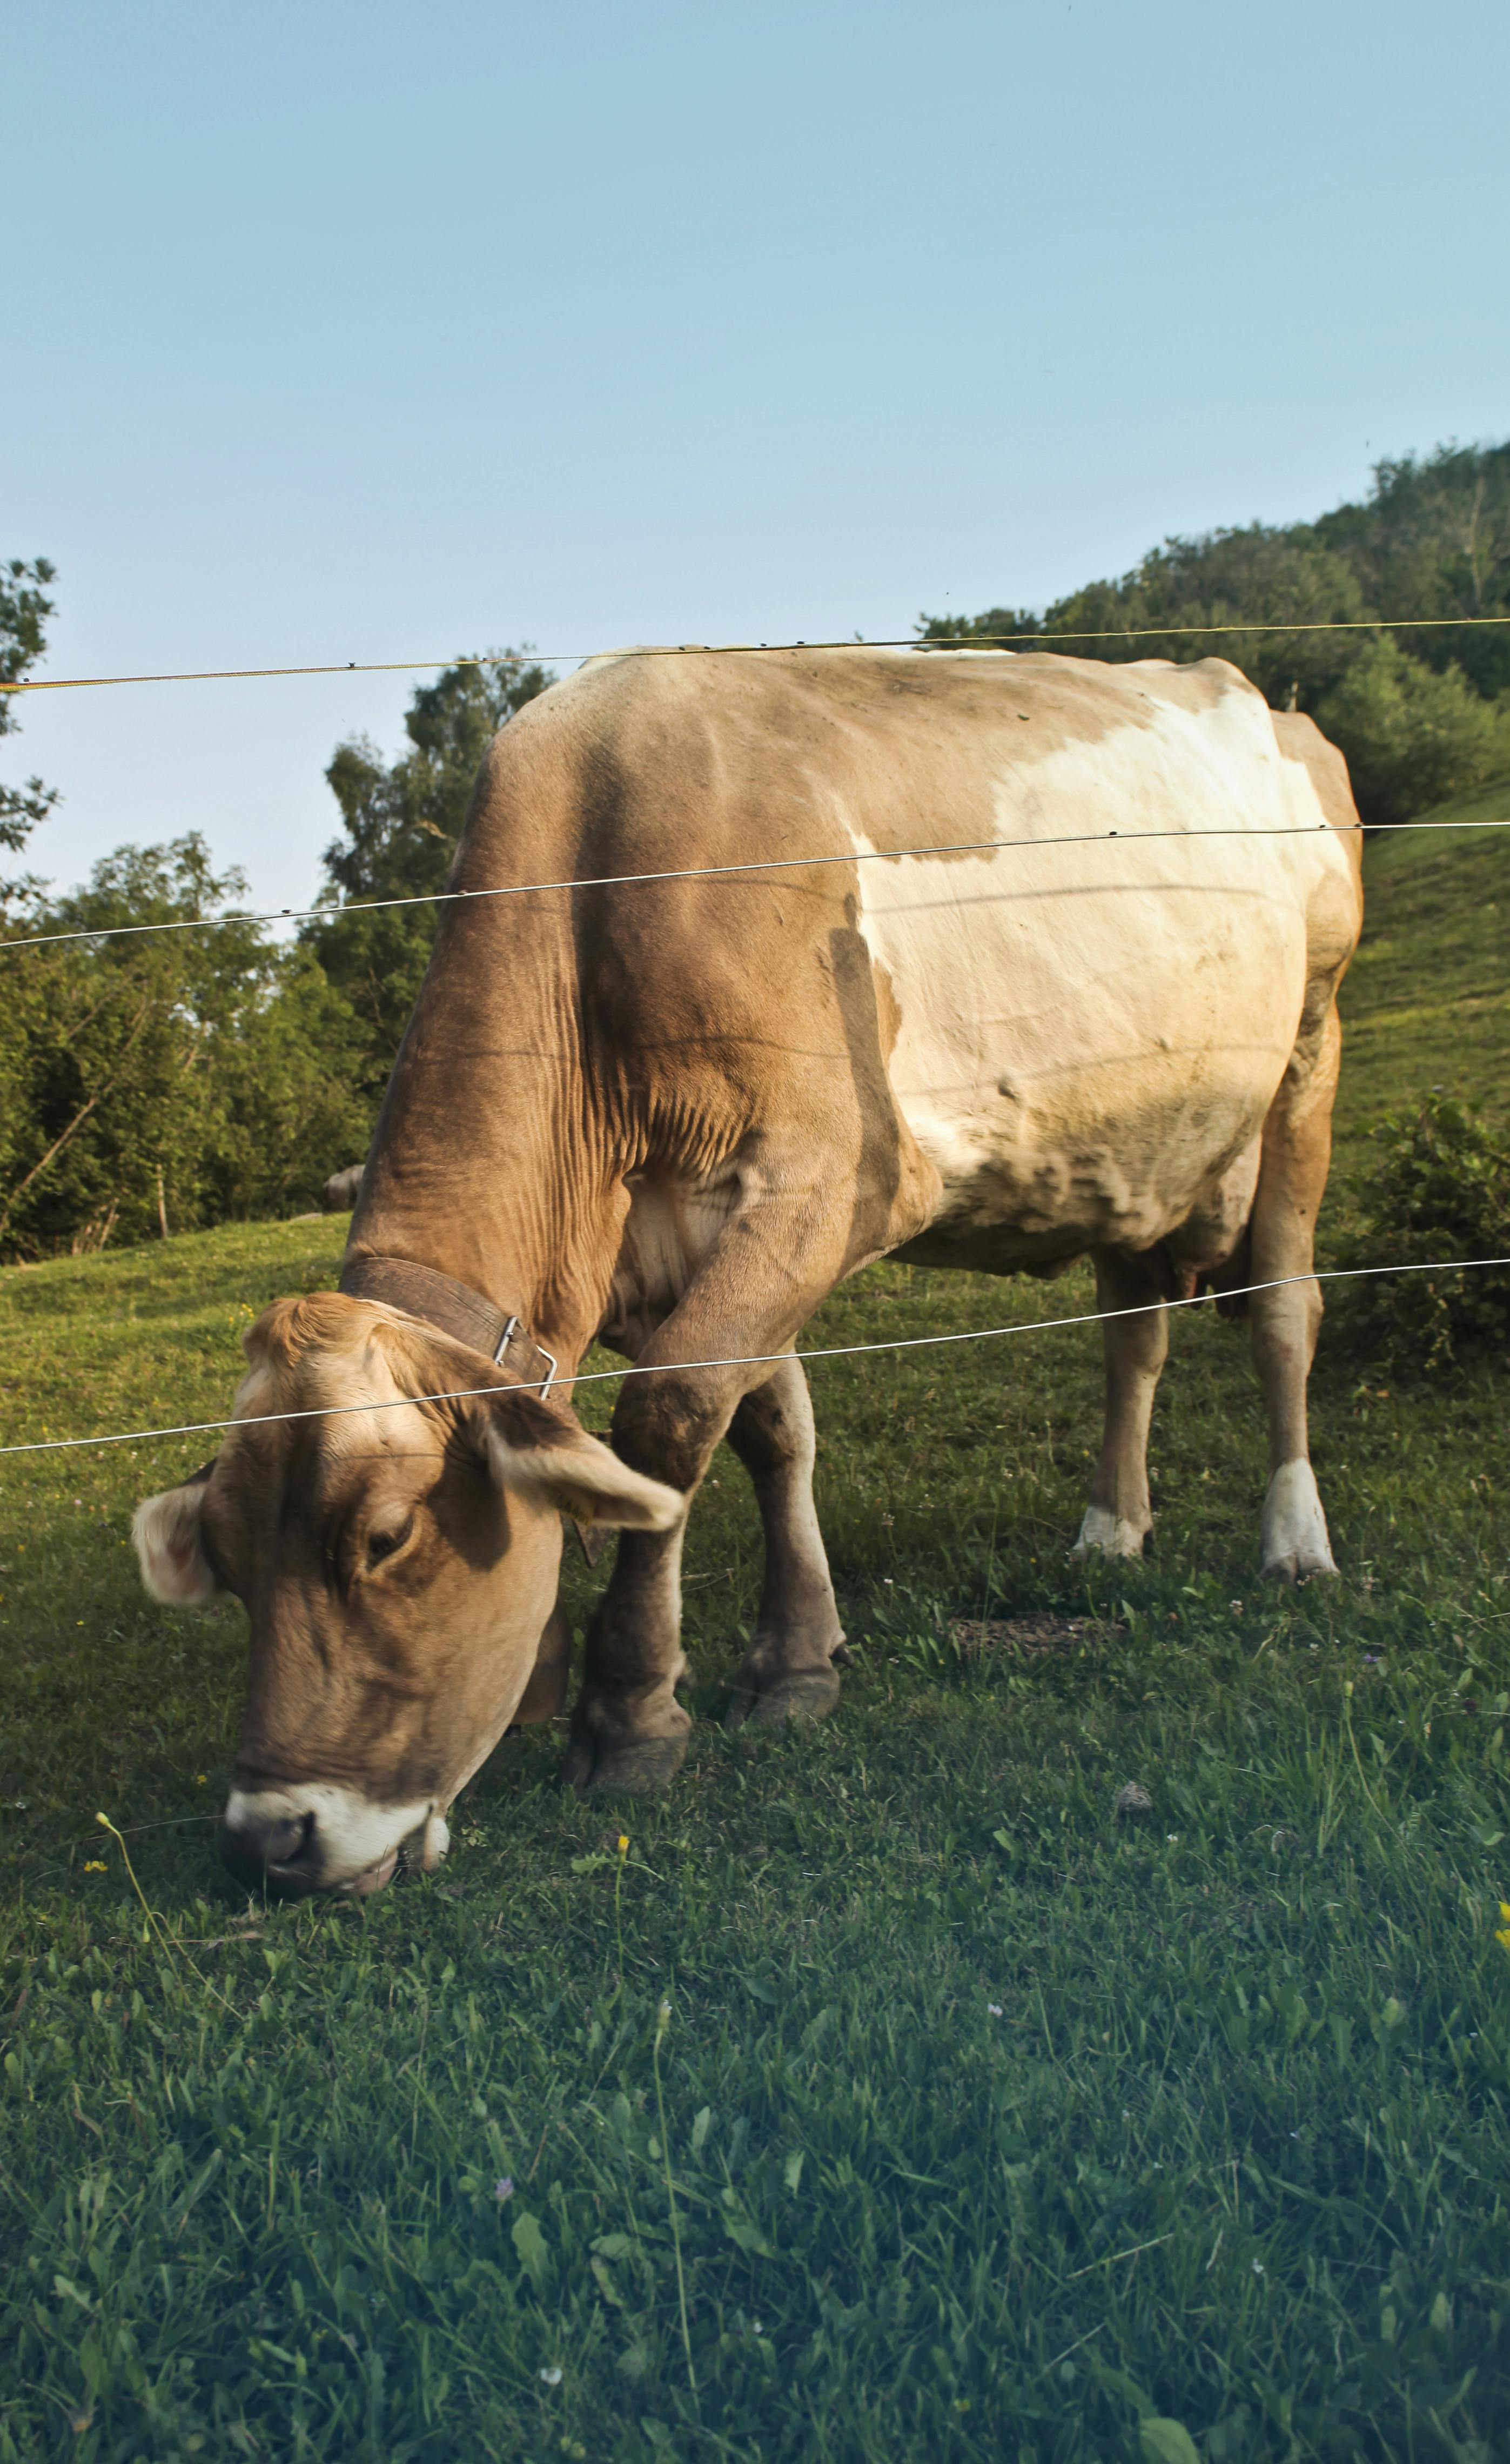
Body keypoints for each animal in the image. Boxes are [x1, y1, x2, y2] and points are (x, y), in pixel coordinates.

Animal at [133, 647, 1363, 1897]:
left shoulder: (839, 1175)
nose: (270, 1839)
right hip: (1135, 1147)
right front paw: (794, 1660)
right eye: (226, 1558)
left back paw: (1293, 1541)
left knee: (1283, 1311)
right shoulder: (665, 1247)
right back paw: (1111, 1526)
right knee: (1132, 1331)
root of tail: (1240, 685)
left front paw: (629, 1714)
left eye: (385, 1538)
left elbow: (667, 1421)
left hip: (1310, 1048)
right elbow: (763, 1428)